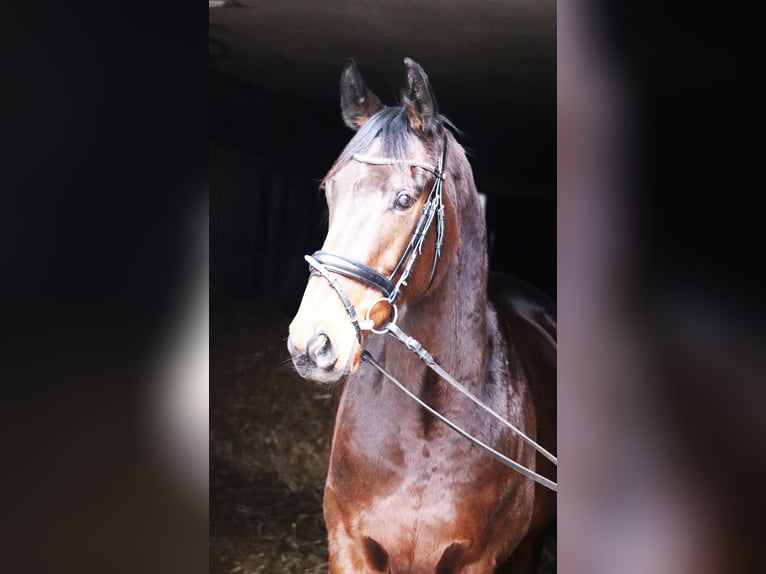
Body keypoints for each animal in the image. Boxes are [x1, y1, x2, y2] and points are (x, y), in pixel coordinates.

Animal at [284, 58, 556, 574]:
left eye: (404, 199)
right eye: (330, 192)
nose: (312, 342)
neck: (424, 429)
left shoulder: (477, 560)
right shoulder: (349, 547)